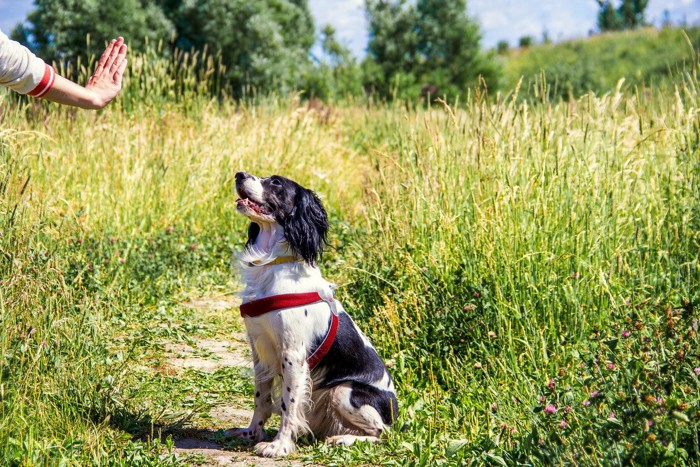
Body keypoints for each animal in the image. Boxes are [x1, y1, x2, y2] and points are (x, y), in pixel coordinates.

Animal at [228, 172, 394, 458]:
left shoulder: (293, 355)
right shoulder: (260, 349)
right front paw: (252, 433)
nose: (239, 174)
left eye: (276, 183)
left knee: (383, 434)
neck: (274, 265)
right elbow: (261, 397)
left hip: (344, 391)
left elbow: (288, 404)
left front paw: (279, 446)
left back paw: (343, 439)